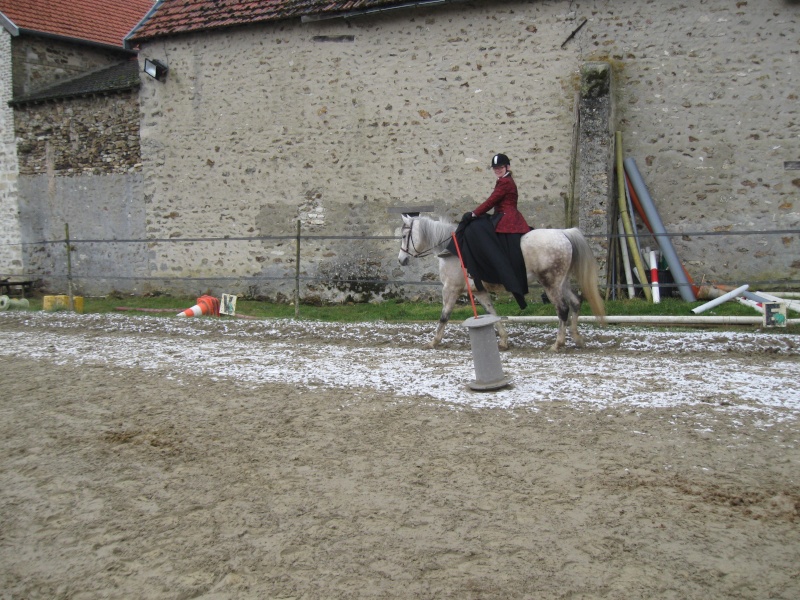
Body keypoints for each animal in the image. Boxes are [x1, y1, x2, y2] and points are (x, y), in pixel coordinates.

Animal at [396, 214, 608, 352]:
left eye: (405, 236)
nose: (401, 260)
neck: (451, 248)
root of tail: (563, 234)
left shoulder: (451, 289)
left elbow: (444, 316)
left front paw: (434, 342)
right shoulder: (478, 291)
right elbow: (492, 313)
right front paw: (504, 341)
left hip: (551, 283)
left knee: (562, 309)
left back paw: (558, 344)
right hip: (562, 282)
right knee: (576, 303)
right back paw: (577, 338)